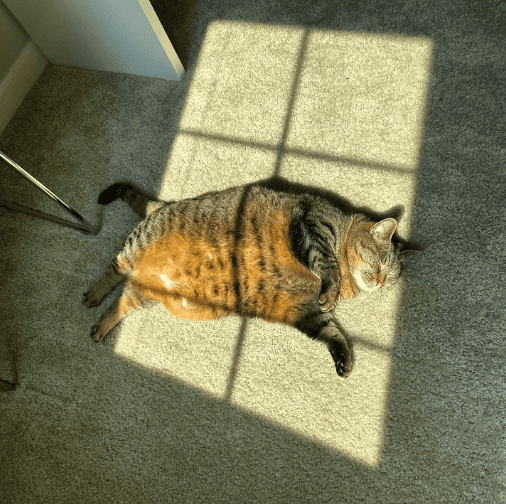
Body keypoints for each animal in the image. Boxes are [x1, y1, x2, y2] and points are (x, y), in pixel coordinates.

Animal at [82, 181, 416, 378]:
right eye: (379, 263)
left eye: (391, 276)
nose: (381, 281)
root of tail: (163, 204)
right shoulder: (311, 225)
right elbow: (326, 264)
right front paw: (330, 287)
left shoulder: (304, 310)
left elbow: (332, 333)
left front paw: (343, 359)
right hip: (135, 248)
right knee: (115, 269)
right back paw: (94, 295)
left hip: (147, 291)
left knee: (123, 300)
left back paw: (101, 325)